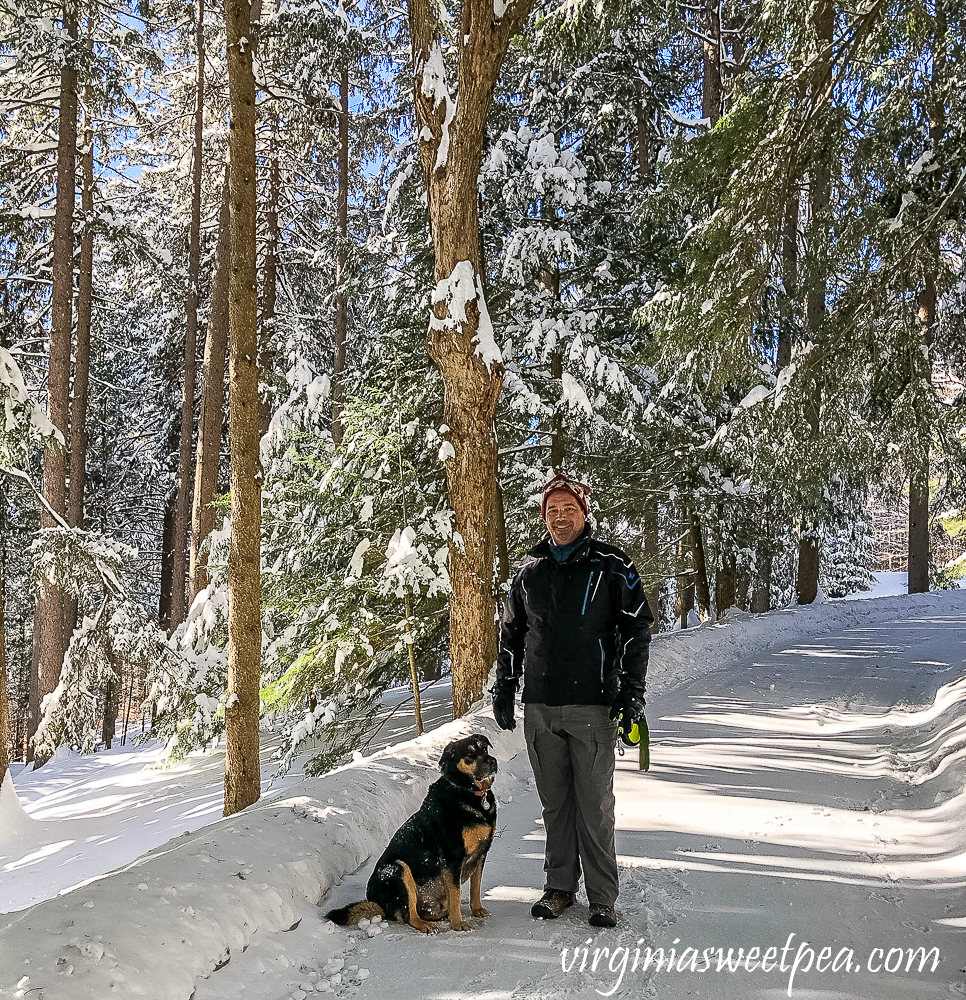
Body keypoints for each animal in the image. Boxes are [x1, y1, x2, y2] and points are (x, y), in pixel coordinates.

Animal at [328, 732, 502, 932]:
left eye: (485, 748)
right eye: (469, 755)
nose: (493, 761)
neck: (468, 791)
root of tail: (379, 905)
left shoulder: (481, 853)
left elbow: (476, 887)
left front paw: (477, 910)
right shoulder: (452, 858)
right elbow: (456, 895)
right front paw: (458, 923)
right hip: (398, 869)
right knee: (410, 915)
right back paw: (426, 924)